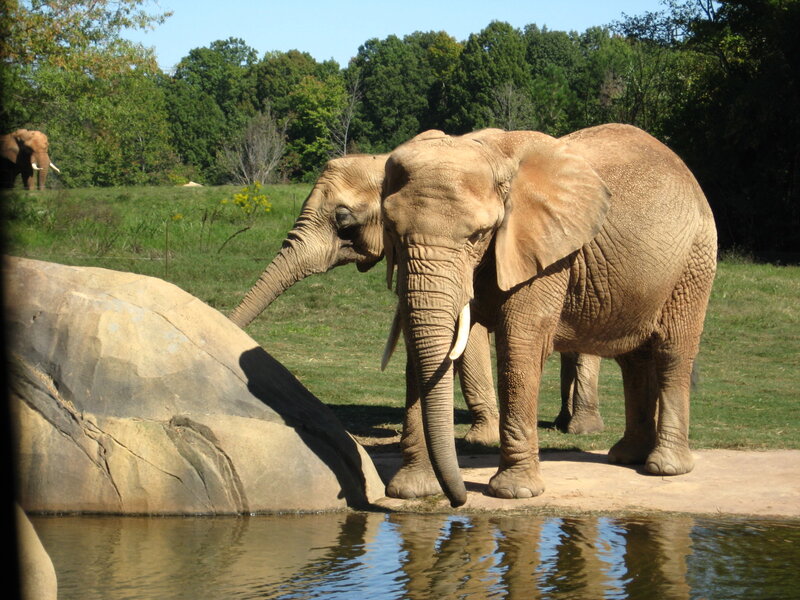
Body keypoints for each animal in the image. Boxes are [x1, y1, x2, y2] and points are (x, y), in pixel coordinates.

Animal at [381, 123, 717, 506]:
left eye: (478, 236)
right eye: (389, 229)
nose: (459, 500)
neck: (489, 152)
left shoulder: (546, 255)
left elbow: (519, 346)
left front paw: (513, 493)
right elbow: (418, 356)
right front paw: (410, 491)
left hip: (694, 260)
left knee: (672, 352)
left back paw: (665, 468)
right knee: (634, 360)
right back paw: (626, 456)